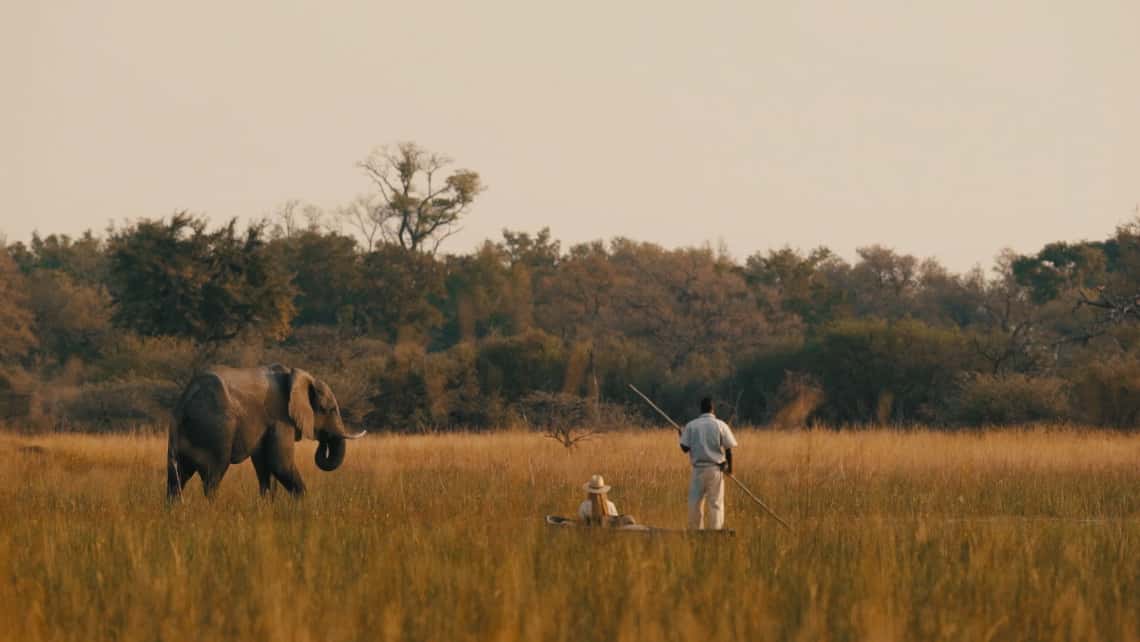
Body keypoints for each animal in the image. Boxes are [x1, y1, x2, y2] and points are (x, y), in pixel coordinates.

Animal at [166, 364, 364, 499]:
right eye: (328, 409)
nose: (324, 440)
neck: (294, 376)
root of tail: (185, 400)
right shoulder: (280, 418)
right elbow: (280, 464)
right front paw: (306, 505)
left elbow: (265, 466)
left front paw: (267, 506)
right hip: (215, 428)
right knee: (212, 476)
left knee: (176, 477)